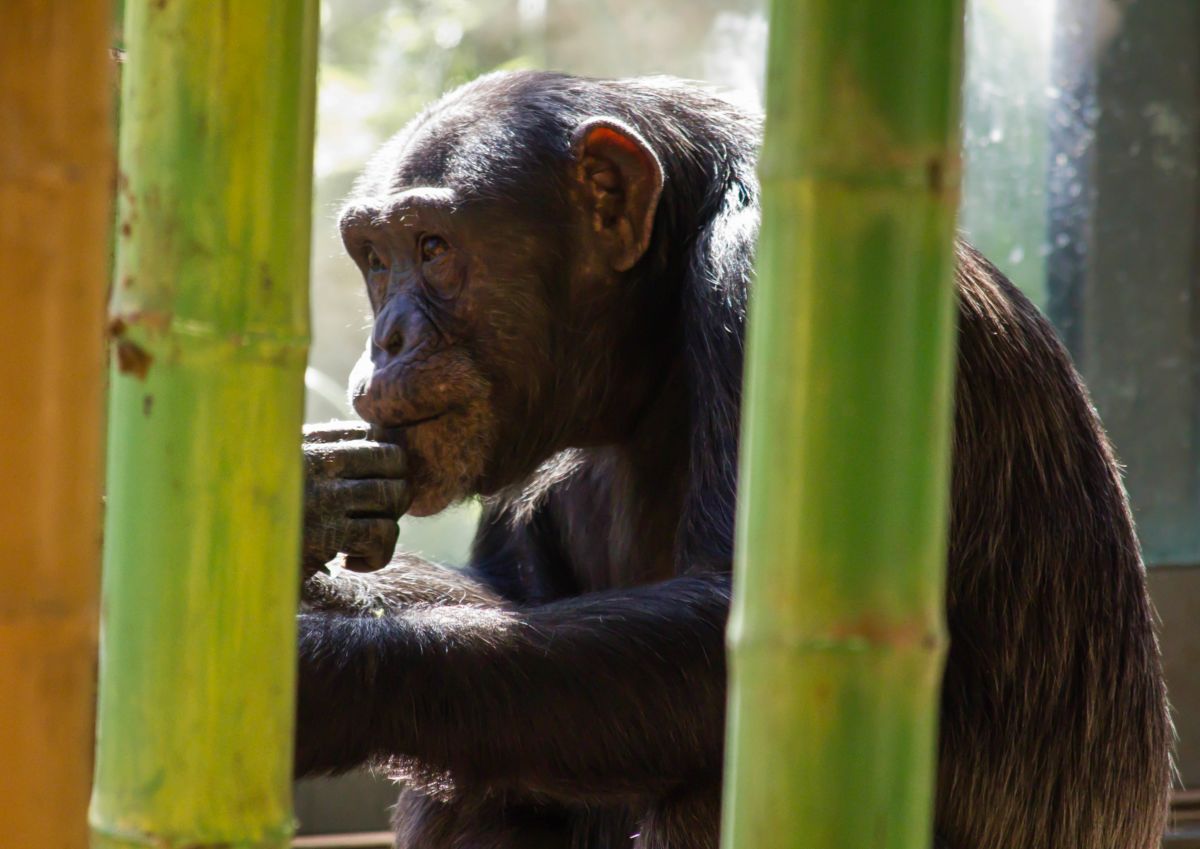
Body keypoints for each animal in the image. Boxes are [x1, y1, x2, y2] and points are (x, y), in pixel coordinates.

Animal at [294, 71, 1171, 849]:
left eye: (432, 247)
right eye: (376, 258)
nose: (390, 337)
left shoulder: (756, 285)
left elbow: (727, 625)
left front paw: (327, 667)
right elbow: (503, 600)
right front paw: (313, 511)